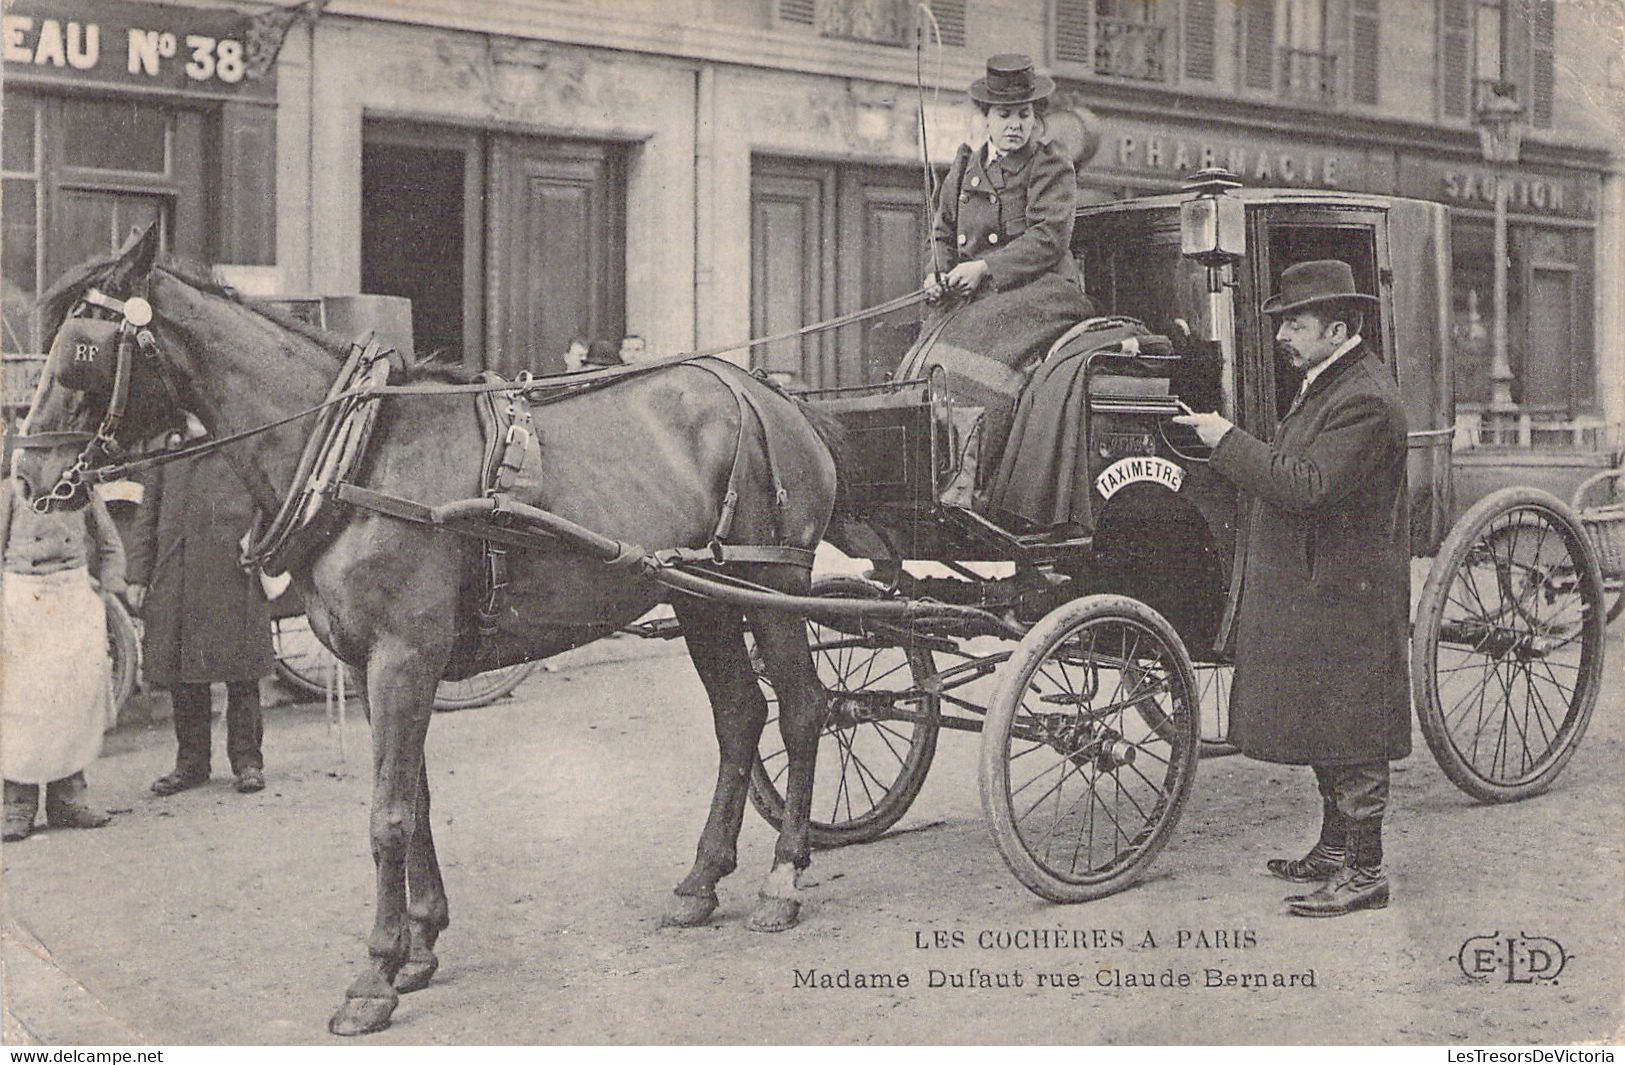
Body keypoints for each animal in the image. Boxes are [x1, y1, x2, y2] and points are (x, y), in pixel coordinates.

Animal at [12, 229, 845, 1040]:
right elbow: (414, 795)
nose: (28, 475)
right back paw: (700, 881)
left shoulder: (403, 657)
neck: (359, 453)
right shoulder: (371, 663)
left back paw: (781, 878)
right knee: (740, 715)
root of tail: (769, 394)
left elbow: (387, 813)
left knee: (802, 711)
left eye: (81, 348)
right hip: (703, 599)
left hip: (772, 586)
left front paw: (374, 975)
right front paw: (420, 944)